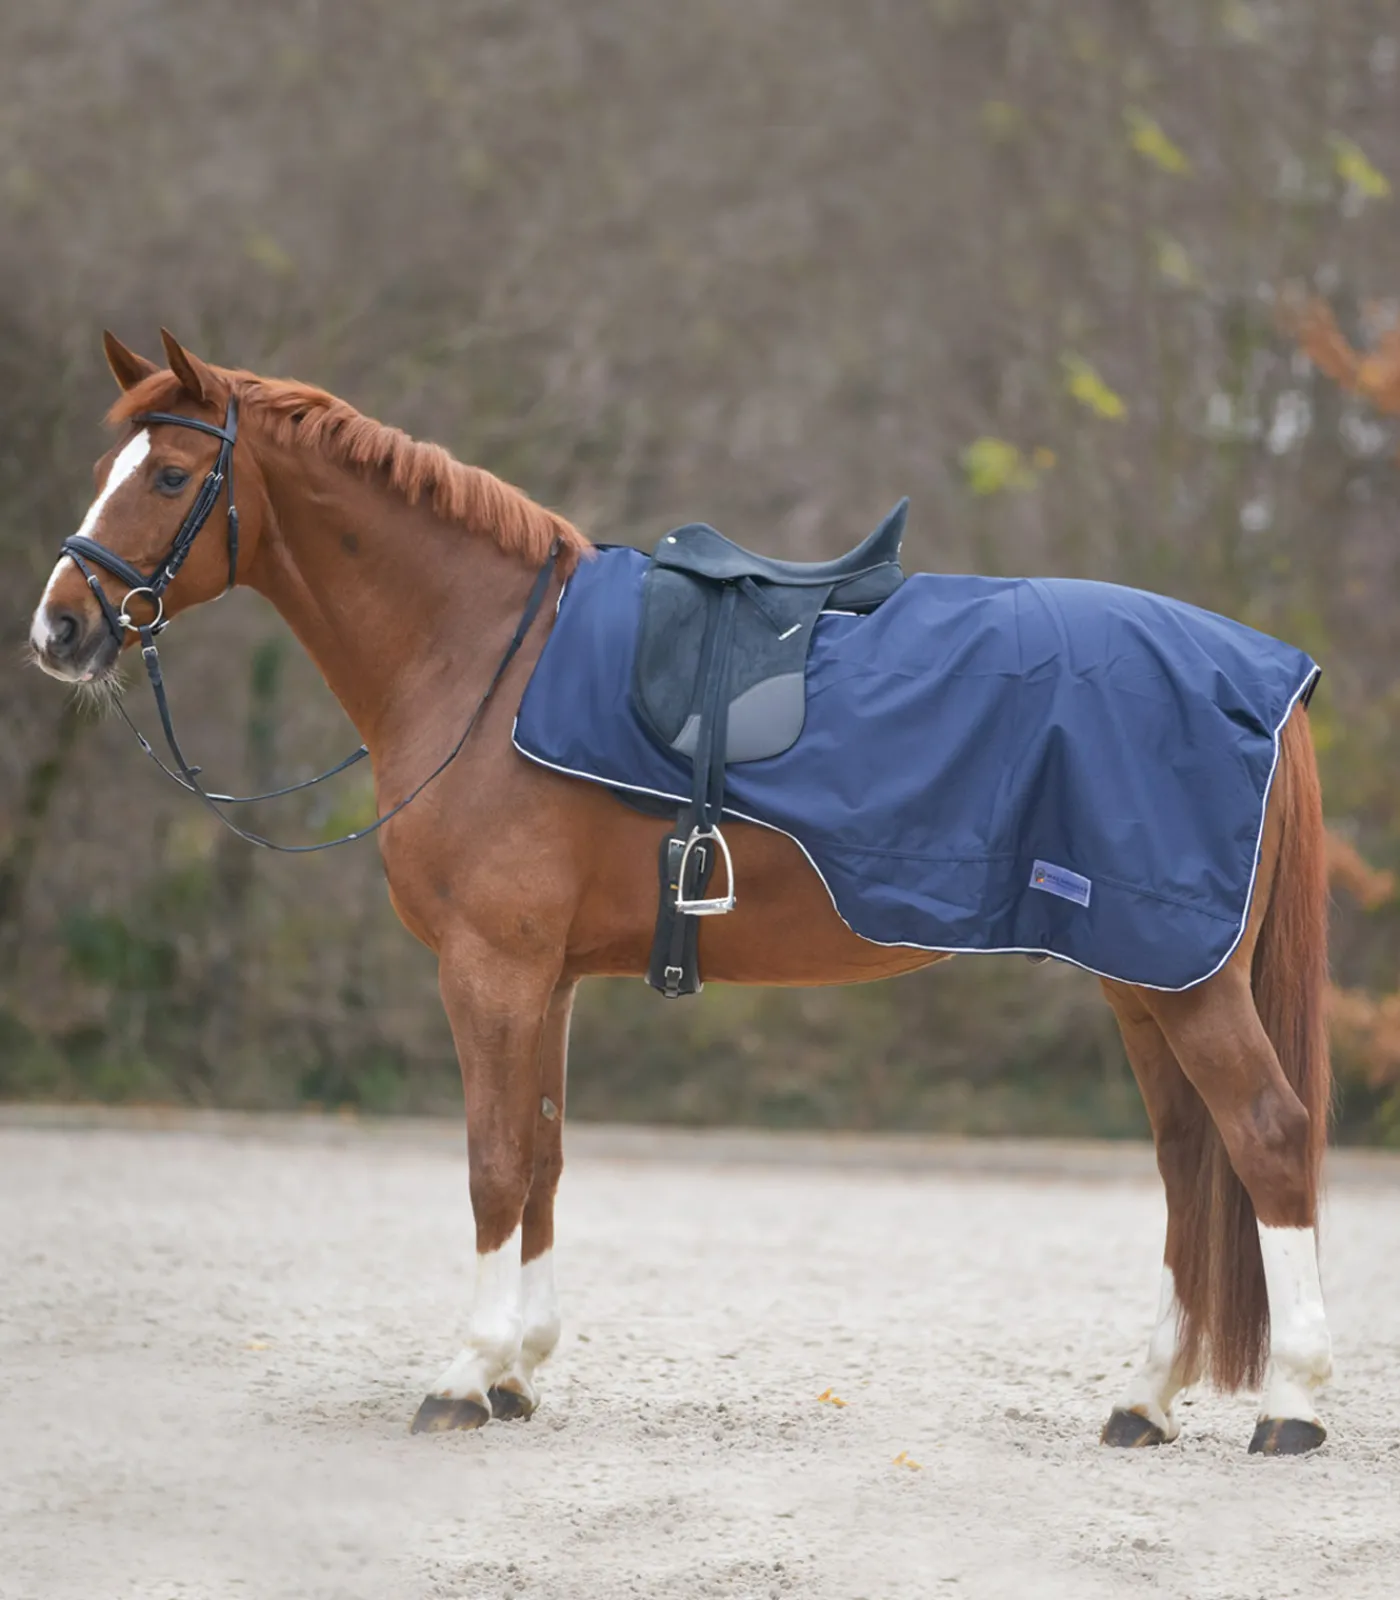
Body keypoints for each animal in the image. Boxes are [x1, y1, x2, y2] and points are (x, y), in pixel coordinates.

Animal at [28, 330, 1333, 1454]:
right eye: (106, 470)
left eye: (172, 474)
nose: (59, 628)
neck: (482, 657)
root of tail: (1261, 675)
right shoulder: (545, 977)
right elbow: (543, 1155)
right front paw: (518, 1371)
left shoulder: (490, 966)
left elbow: (492, 1161)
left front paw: (463, 1373)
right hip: (1138, 975)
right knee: (1187, 1159)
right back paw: (1144, 1397)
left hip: (1183, 979)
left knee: (1266, 1139)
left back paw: (1293, 1403)